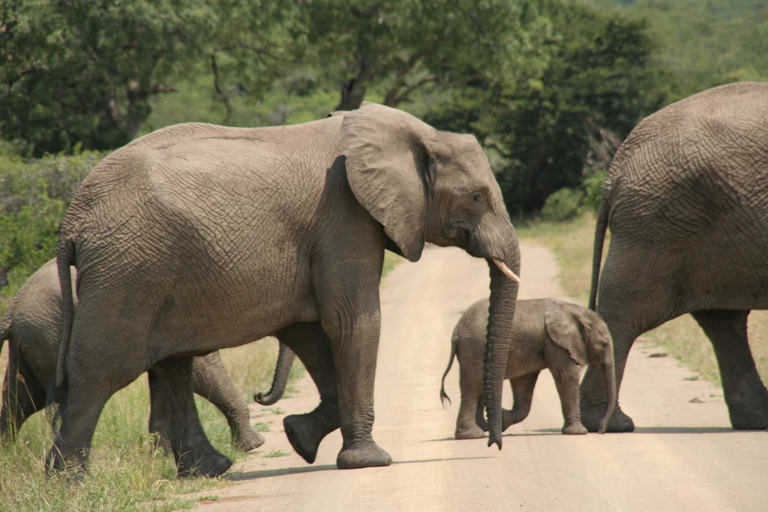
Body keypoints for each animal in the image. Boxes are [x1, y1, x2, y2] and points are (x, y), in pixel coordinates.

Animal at [0, 258, 264, 450]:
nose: (260, 395)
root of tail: (13, 306)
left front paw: (161, 455)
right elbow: (201, 372)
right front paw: (253, 445)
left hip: (33, 339)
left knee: (21, 397)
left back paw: (10, 454)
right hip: (50, 333)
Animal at [45, 102, 520, 478]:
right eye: (476, 197)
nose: (493, 443)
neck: (413, 133)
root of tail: (72, 221)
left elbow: (311, 330)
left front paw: (298, 437)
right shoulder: (343, 214)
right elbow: (352, 322)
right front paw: (369, 462)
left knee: (172, 367)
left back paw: (210, 471)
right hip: (127, 270)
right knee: (99, 373)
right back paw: (69, 484)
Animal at [440, 298, 616, 438]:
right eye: (604, 344)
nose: (601, 431)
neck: (577, 312)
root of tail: (457, 332)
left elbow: (523, 383)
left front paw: (502, 420)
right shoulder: (555, 343)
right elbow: (566, 376)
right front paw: (578, 432)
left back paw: (484, 428)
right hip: (476, 347)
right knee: (472, 387)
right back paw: (472, 435)